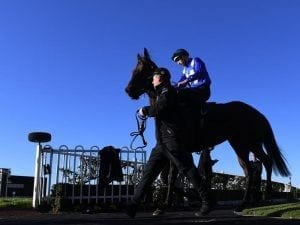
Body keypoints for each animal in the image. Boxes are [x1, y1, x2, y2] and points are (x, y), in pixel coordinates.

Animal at [125, 48, 290, 205]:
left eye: (143, 69)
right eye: (134, 69)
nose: (128, 90)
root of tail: (258, 114)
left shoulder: (179, 149)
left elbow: (177, 176)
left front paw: (186, 199)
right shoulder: (170, 150)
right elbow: (169, 177)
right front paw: (169, 202)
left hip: (251, 144)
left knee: (266, 162)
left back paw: (266, 194)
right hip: (240, 146)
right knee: (249, 170)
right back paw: (247, 199)